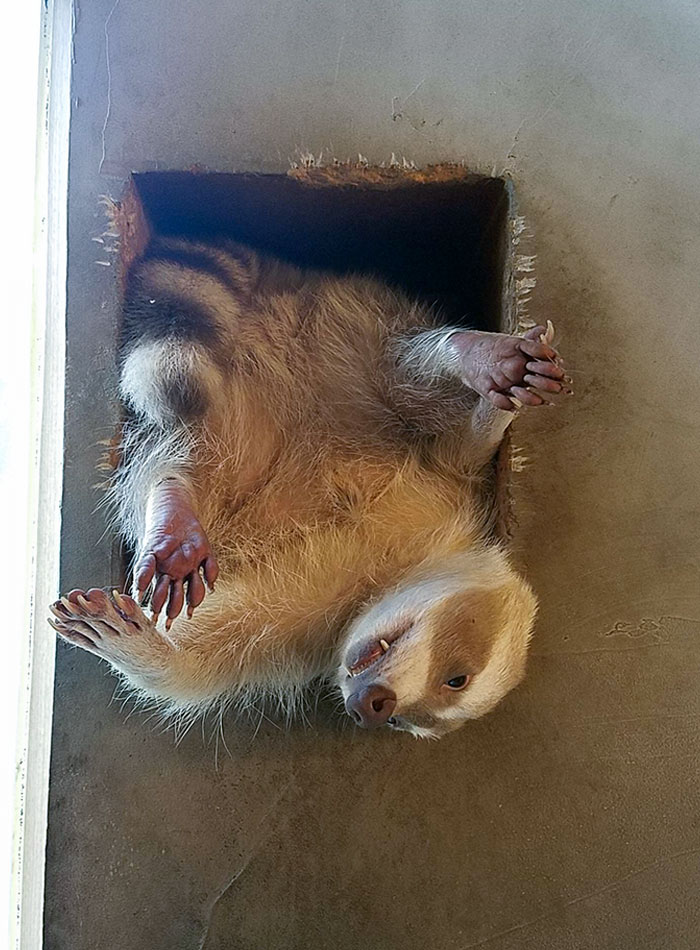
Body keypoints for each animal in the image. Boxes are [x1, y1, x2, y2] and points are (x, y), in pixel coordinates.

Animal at [50, 238, 568, 739]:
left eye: (412, 722)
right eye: (456, 678)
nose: (375, 711)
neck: (400, 567)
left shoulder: (310, 620)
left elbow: (198, 661)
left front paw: (147, 651)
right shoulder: (449, 480)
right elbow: (465, 437)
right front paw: (492, 412)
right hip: (342, 336)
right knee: (403, 365)